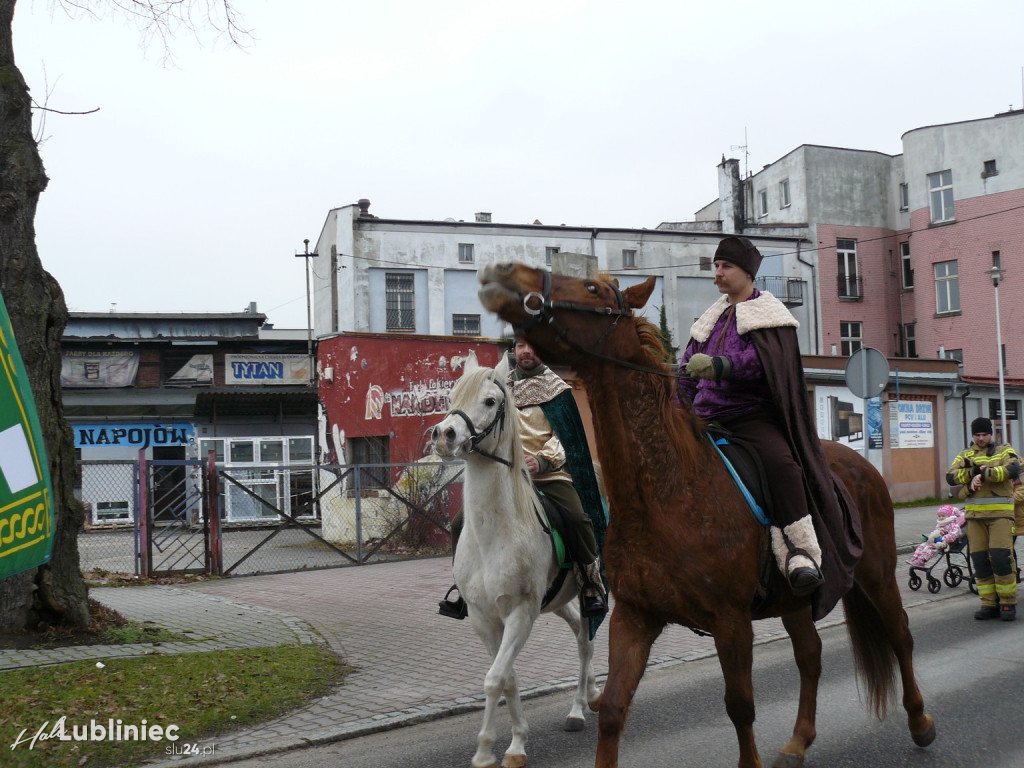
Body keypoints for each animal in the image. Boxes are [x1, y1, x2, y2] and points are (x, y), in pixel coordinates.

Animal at [430, 354, 598, 768]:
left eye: (490, 401)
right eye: (452, 395)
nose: (443, 435)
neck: (496, 534)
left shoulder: (521, 613)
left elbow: (494, 679)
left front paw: (492, 750)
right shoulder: (483, 617)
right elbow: (507, 677)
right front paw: (512, 741)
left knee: (588, 638)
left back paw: (578, 708)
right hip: (556, 601)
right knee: (580, 634)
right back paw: (587, 696)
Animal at [475, 264, 933, 768]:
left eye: (592, 288)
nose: (504, 273)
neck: (668, 491)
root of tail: (862, 467)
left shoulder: (730, 622)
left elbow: (740, 706)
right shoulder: (634, 617)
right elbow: (612, 709)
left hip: (876, 573)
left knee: (901, 634)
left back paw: (920, 722)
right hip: (794, 600)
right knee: (810, 655)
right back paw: (798, 741)